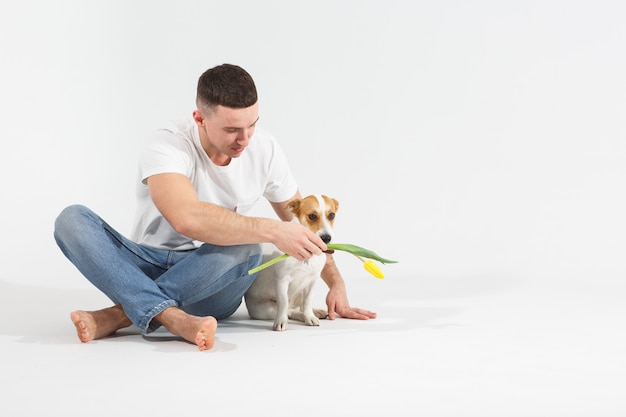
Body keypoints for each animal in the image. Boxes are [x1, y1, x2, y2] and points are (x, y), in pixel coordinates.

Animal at [243, 193, 338, 330]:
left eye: (331, 215)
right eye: (312, 216)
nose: (326, 238)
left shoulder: (312, 281)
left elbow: (308, 302)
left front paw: (310, 316)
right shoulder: (282, 281)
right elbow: (283, 303)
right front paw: (281, 322)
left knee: (300, 307)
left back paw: (314, 312)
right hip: (265, 310)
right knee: (290, 311)